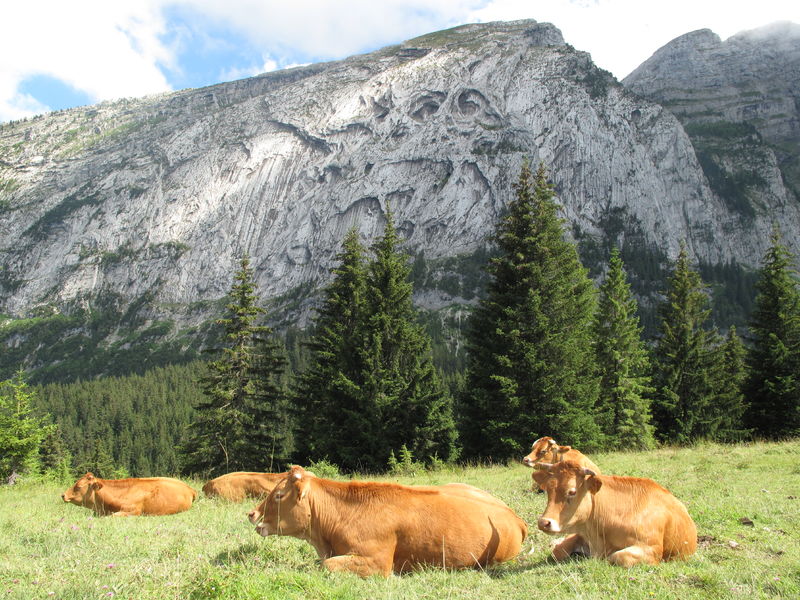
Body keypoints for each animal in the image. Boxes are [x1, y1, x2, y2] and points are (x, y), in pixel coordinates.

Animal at [532, 460, 697, 567]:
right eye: (548, 489)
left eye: (572, 491)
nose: (543, 522)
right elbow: (557, 551)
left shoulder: (651, 549)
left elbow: (617, 556)